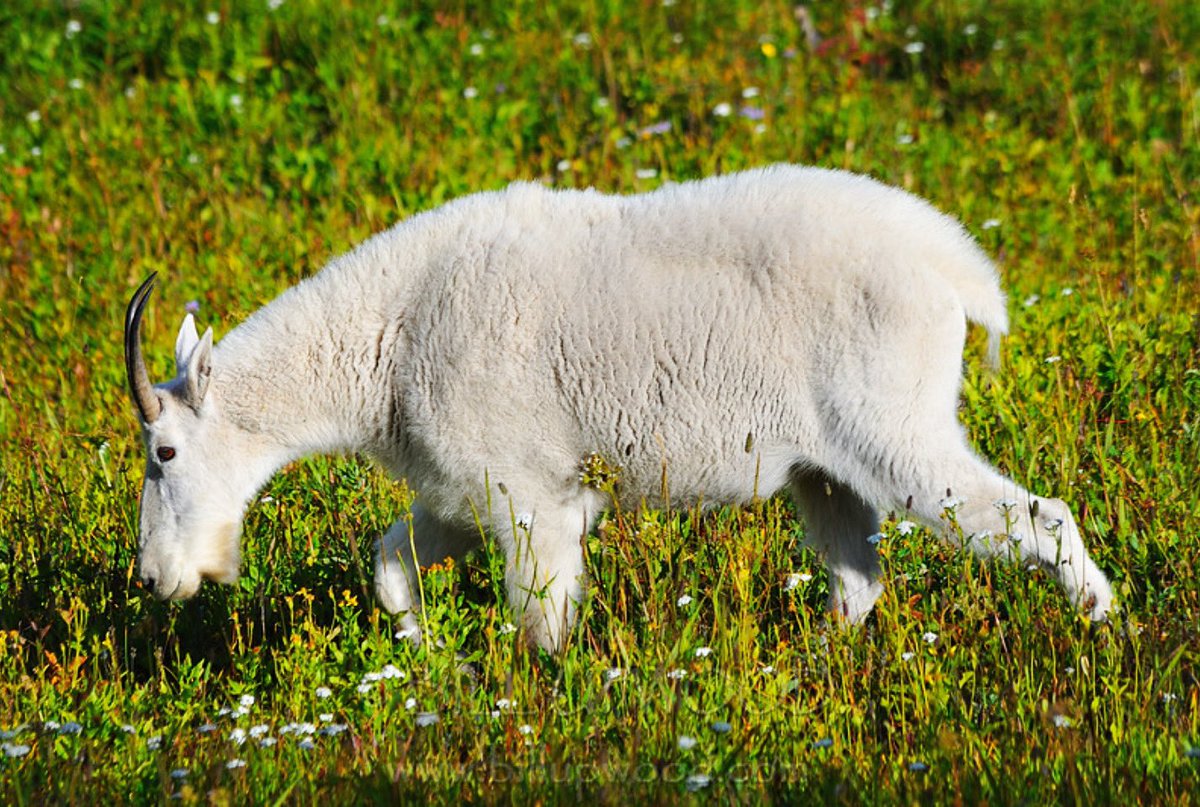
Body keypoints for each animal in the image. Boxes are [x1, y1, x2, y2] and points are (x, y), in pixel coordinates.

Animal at [126, 163, 1108, 648]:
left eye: (163, 454)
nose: (153, 578)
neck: (389, 336)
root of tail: (958, 271)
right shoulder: (462, 488)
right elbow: (392, 562)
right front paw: (424, 656)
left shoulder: (530, 493)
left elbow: (543, 619)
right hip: (825, 465)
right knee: (857, 574)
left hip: (896, 427)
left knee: (1036, 515)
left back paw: (1103, 626)